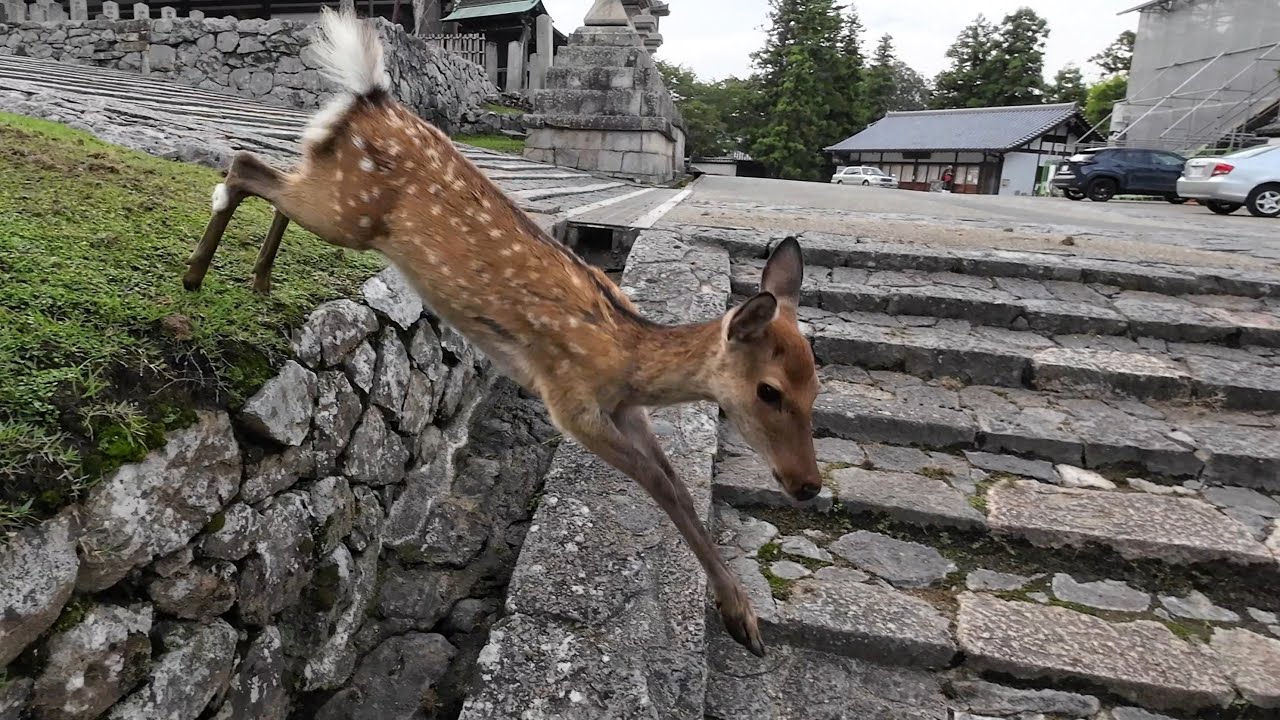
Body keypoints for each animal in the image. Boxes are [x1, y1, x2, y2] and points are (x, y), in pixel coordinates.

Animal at [180, 7, 821, 659]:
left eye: (816, 388)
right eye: (770, 391)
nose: (808, 486)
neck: (627, 362)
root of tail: (368, 95)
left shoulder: (627, 411)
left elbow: (679, 486)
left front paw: (743, 617)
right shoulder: (570, 400)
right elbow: (658, 486)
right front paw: (740, 618)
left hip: (334, 195)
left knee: (273, 179)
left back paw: (257, 280)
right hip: (348, 212)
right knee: (245, 165)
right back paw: (194, 275)